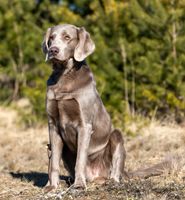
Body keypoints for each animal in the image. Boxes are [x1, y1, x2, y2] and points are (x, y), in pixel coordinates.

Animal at [42, 24, 173, 191]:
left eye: (67, 37)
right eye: (51, 38)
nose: (53, 50)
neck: (64, 76)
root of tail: (94, 177)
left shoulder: (84, 124)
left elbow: (80, 159)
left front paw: (79, 185)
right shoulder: (53, 124)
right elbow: (53, 162)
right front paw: (52, 186)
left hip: (116, 136)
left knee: (115, 169)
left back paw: (110, 181)